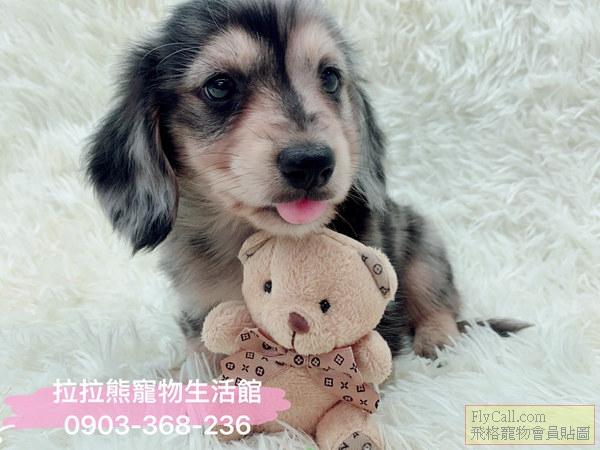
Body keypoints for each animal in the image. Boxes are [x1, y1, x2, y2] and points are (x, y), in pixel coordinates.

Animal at [85, 0, 527, 358]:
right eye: (219, 87)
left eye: (330, 78)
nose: (312, 162)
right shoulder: (202, 311)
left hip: (423, 245)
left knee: (439, 303)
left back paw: (438, 340)